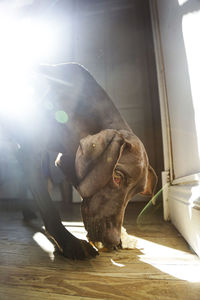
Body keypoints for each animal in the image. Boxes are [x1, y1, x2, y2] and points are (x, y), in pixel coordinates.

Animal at [0, 62, 158, 258]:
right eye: (116, 176)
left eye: (136, 193)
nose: (113, 240)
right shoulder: (30, 152)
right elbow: (49, 206)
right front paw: (70, 243)